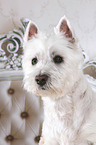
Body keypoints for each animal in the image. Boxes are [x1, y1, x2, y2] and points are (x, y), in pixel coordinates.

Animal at [22, 16, 96, 144]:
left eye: (58, 58)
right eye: (34, 60)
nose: (40, 79)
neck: (61, 103)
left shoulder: (90, 137)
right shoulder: (50, 138)